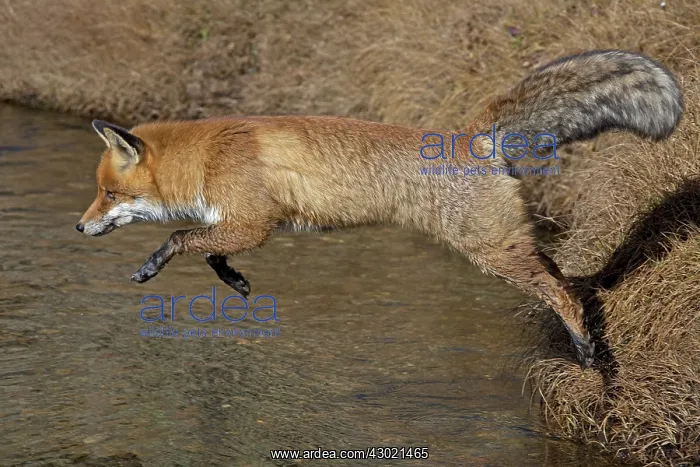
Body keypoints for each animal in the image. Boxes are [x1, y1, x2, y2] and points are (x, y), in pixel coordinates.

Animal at [76, 50, 683, 369]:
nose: (79, 226)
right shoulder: (238, 225)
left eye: (110, 195)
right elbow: (207, 251)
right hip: (510, 244)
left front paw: (153, 266)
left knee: (562, 291)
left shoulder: (254, 222)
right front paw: (235, 281)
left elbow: (180, 239)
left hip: (490, 250)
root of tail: (468, 137)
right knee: (566, 278)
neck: (208, 157)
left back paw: (586, 351)